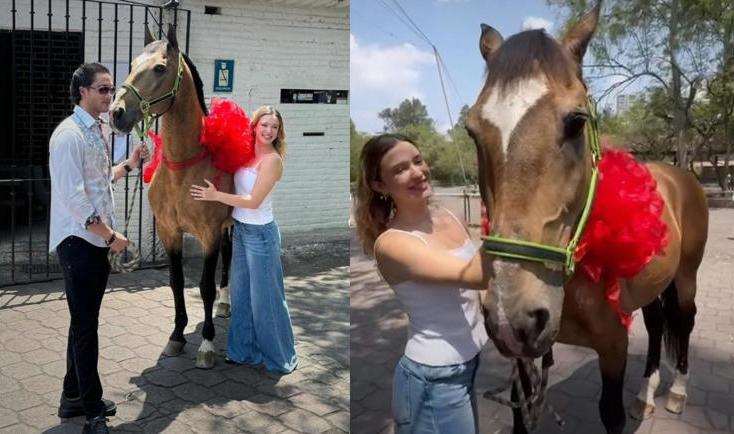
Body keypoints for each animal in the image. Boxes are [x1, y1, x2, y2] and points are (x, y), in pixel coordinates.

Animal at [109, 25, 233, 369]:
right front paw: (177, 336)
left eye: (160, 68)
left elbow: (204, 287)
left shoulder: (209, 234)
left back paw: (226, 304)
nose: (116, 113)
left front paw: (206, 343)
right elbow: (176, 281)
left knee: (230, 260)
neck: (183, 167)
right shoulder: (169, 231)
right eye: (132, 64)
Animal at [466, 3, 709, 433]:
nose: (513, 314)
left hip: (685, 279)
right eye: (473, 132)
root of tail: (681, 176)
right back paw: (645, 396)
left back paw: (677, 393)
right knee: (656, 324)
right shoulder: (524, 362)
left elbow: (610, 412)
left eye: (576, 122)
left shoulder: (613, 346)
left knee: (683, 321)